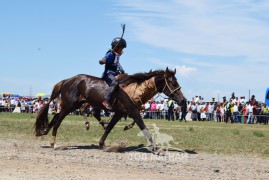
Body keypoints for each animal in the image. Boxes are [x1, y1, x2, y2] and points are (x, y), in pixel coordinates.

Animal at [34, 67, 185, 150]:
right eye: (172, 82)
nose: (183, 100)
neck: (135, 90)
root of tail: (67, 80)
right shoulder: (133, 111)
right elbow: (143, 127)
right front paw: (155, 147)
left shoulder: (119, 113)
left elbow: (109, 127)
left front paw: (102, 143)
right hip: (69, 106)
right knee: (58, 120)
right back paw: (53, 142)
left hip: (73, 105)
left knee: (56, 116)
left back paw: (45, 132)